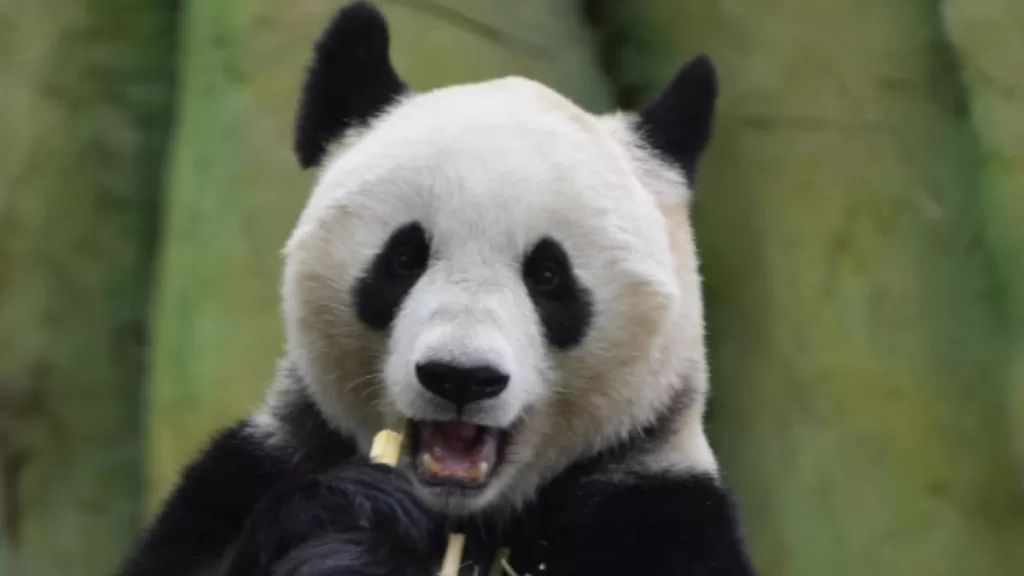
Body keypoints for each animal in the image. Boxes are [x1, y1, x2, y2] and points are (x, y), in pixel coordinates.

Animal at [118, 2, 758, 576]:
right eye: (404, 257)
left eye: (548, 275)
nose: (460, 378)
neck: (464, 518)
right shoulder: (258, 466)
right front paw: (351, 523)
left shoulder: (653, 508)